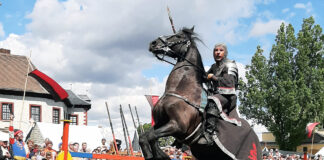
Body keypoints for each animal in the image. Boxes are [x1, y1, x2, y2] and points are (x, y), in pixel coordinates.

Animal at [140, 26, 264, 159]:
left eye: (178, 36)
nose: (153, 43)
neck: (180, 89)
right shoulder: (161, 123)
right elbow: (144, 137)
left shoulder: (176, 126)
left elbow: (151, 137)